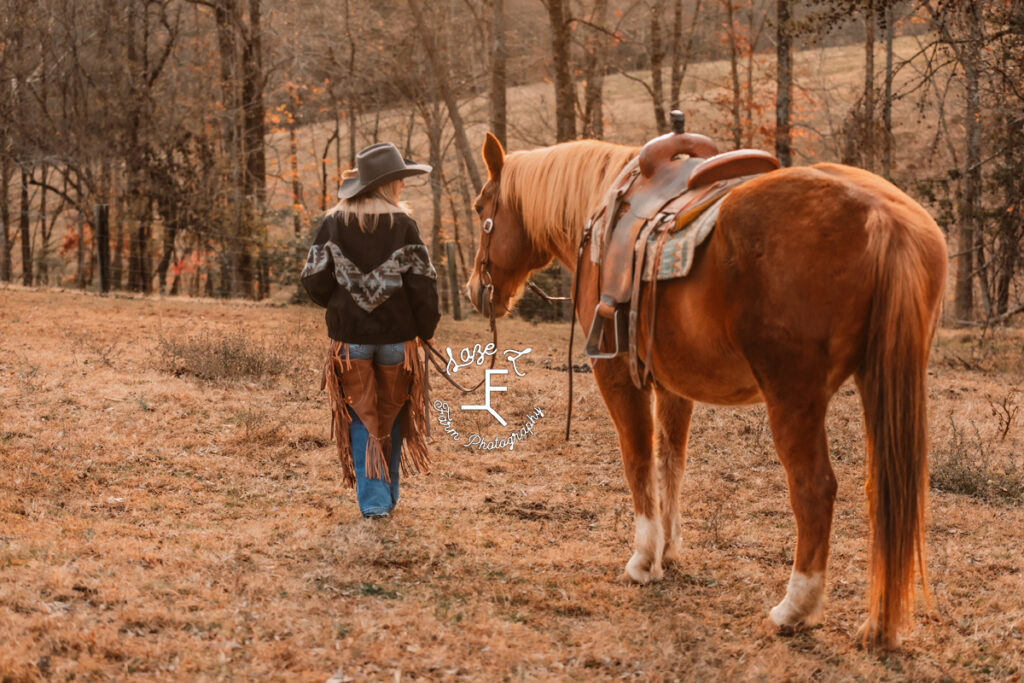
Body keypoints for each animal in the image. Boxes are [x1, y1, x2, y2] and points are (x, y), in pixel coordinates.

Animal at [464, 132, 942, 647]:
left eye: (479, 207)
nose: (475, 289)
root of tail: (883, 217)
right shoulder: (675, 384)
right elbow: (672, 461)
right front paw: (669, 548)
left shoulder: (616, 375)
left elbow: (639, 461)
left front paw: (644, 559)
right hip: (880, 386)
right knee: (886, 495)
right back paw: (880, 624)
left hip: (794, 398)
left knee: (815, 490)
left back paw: (795, 608)